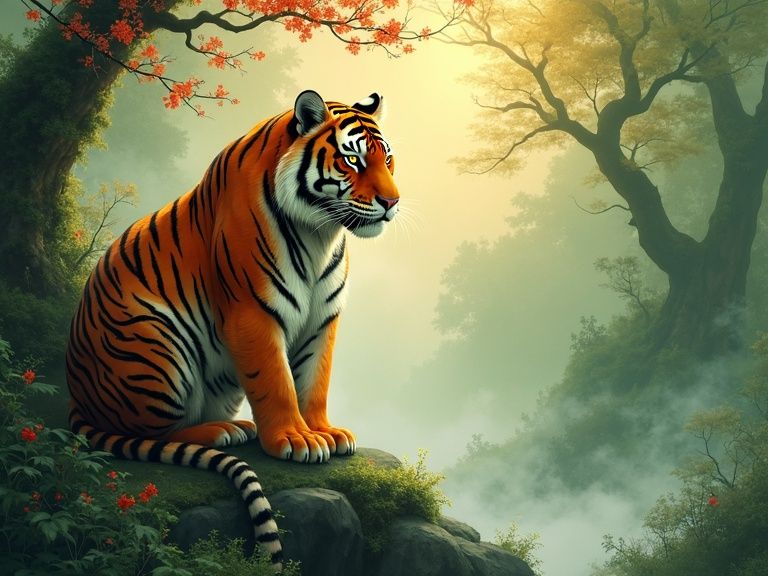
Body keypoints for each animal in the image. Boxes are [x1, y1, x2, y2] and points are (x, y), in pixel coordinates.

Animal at [65, 90, 399, 568]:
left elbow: (315, 380)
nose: (392, 203)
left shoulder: (324, 318)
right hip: (156, 348)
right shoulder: (252, 312)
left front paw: (326, 431)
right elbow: (277, 383)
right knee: (151, 432)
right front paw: (295, 439)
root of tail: (77, 398)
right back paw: (223, 432)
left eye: (388, 160)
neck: (320, 233)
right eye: (353, 160)